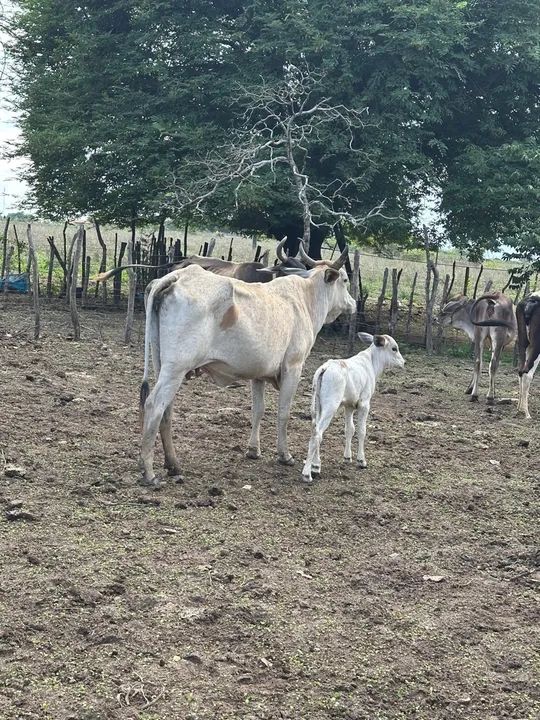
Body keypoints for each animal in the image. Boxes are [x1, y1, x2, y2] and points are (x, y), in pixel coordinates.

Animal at [138, 244, 356, 486]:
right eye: (345, 279)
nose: (353, 304)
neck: (305, 299)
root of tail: (178, 276)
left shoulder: (259, 374)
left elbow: (258, 411)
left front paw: (253, 450)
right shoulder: (293, 367)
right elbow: (283, 412)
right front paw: (284, 455)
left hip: (163, 367)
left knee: (166, 410)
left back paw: (173, 465)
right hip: (175, 369)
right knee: (153, 405)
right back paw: (149, 472)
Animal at [301, 333, 405, 483]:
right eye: (394, 348)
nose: (403, 362)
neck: (371, 363)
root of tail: (325, 368)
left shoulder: (349, 405)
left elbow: (349, 429)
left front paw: (347, 457)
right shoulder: (364, 404)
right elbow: (362, 431)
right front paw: (361, 460)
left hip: (316, 407)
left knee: (315, 430)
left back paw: (316, 465)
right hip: (330, 406)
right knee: (317, 433)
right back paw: (307, 474)